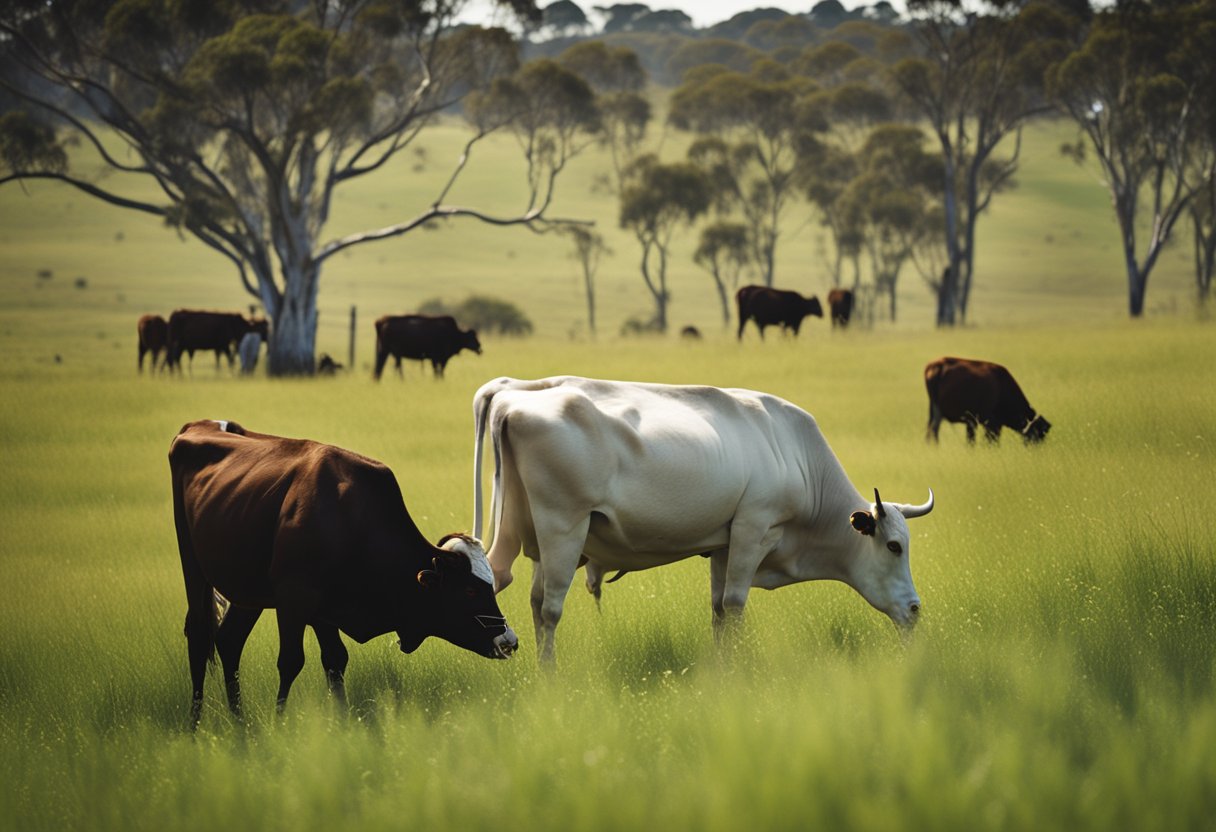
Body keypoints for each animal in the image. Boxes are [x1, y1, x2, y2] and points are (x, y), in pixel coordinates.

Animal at [170, 419, 518, 727]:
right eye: (470, 589)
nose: (509, 640)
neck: (348, 518)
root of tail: (199, 426)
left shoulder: (325, 611)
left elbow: (336, 662)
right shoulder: (294, 601)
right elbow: (291, 661)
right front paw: (280, 726)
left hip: (247, 591)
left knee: (229, 640)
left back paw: (241, 726)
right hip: (193, 565)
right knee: (200, 637)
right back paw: (195, 726)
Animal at [471, 376, 934, 663]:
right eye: (894, 546)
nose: (915, 609)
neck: (799, 457)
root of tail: (512, 394)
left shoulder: (723, 545)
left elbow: (717, 609)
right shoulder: (753, 529)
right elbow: (734, 604)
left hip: (522, 533)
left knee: (515, 589)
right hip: (563, 530)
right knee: (548, 608)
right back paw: (548, 675)